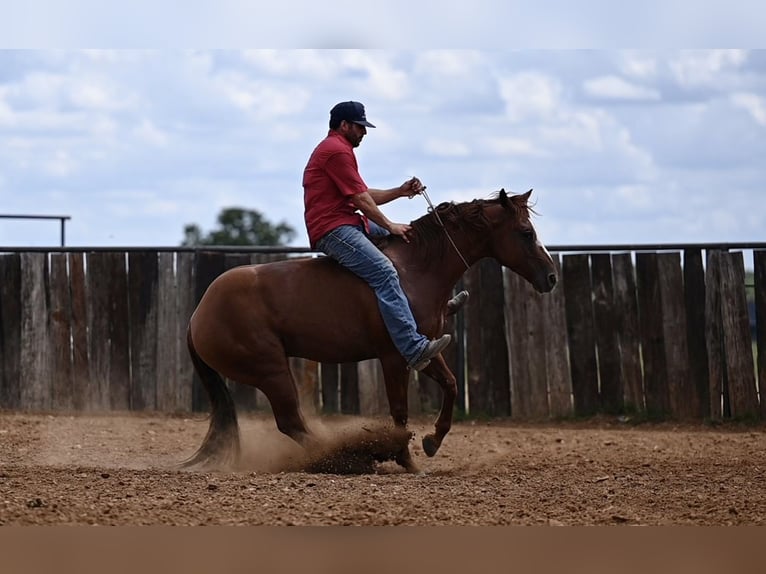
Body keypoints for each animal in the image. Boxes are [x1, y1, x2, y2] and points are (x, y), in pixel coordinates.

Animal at [186, 190, 560, 472]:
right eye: (526, 232)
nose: (551, 276)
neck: (415, 270)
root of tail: (198, 316)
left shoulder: (421, 348)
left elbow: (452, 385)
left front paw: (431, 442)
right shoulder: (393, 357)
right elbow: (399, 413)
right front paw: (406, 459)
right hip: (271, 370)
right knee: (291, 421)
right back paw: (346, 457)